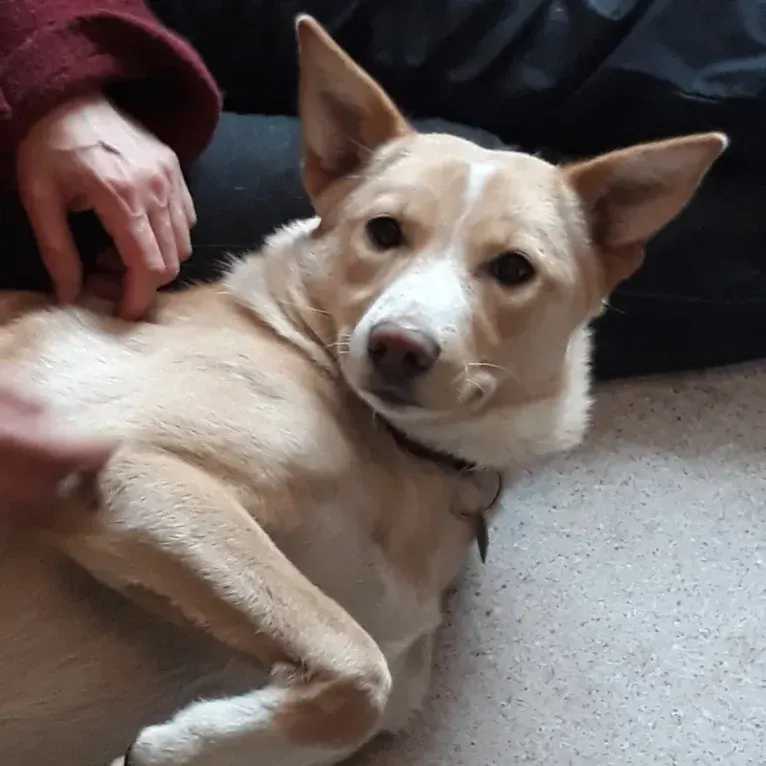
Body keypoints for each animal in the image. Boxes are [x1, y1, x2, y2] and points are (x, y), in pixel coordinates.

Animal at [0, 13, 728, 766]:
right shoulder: (136, 475)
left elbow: (352, 685)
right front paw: (174, 746)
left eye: (513, 269)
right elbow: (355, 664)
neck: (401, 455)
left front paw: (185, 744)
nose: (398, 346)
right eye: (384, 231)